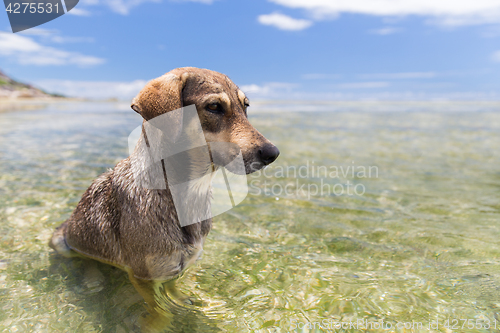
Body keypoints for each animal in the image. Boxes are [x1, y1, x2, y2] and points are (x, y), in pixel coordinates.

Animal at [48, 66, 280, 308]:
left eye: (245, 106)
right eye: (214, 106)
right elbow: (160, 312)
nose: (272, 153)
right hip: (62, 242)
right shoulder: (145, 277)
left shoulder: (179, 267)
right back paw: (92, 279)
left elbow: (174, 289)